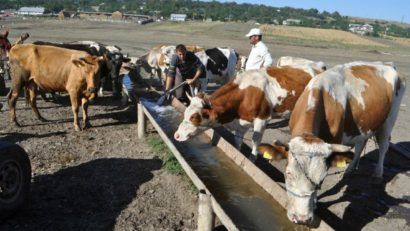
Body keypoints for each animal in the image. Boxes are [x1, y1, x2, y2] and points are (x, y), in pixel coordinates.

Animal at [174, 66, 314, 161]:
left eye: (194, 117)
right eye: (186, 113)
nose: (176, 135)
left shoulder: (262, 119)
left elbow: (255, 141)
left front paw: (252, 159)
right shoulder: (241, 122)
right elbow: (238, 141)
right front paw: (238, 153)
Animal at [262, 61, 406, 226]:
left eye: (321, 179)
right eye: (288, 174)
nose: (302, 219)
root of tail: (388, 64)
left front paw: (315, 203)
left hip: (389, 120)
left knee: (383, 147)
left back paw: (377, 174)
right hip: (364, 125)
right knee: (360, 145)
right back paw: (350, 169)